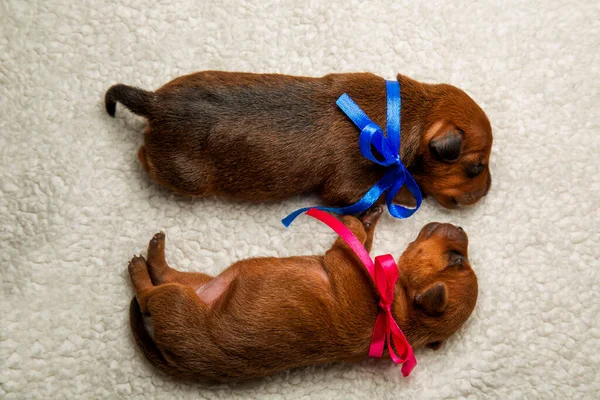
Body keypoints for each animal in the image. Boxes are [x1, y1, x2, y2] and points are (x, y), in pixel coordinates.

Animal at [106, 72, 492, 209]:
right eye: (476, 167)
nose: (489, 190)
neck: (409, 114)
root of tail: (156, 102)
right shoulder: (346, 185)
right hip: (186, 176)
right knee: (144, 157)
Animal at [127, 209, 478, 382]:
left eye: (457, 260)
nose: (463, 227)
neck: (397, 312)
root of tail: (181, 364)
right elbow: (364, 235)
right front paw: (370, 215)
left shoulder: (342, 260)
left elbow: (352, 236)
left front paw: (356, 221)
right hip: (201, 282)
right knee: (167, 274)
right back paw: (156, 252)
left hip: (177, 300)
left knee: (148, 298)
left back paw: (139, 268)